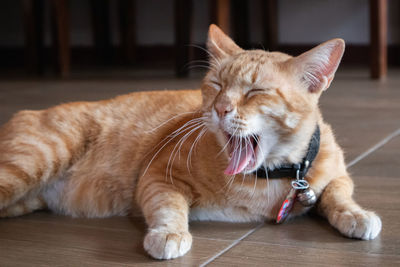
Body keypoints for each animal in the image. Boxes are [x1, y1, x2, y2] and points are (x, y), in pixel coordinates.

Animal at [0, 24, 382, 260]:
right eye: (216, 85)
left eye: (255, 91)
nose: (220, 108)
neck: (269, 179)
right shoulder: (158, 176)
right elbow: (169, 206)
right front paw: (169, 234)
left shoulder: (337, 175)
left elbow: (337, 194)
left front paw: (356, 214)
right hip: (31, 162)